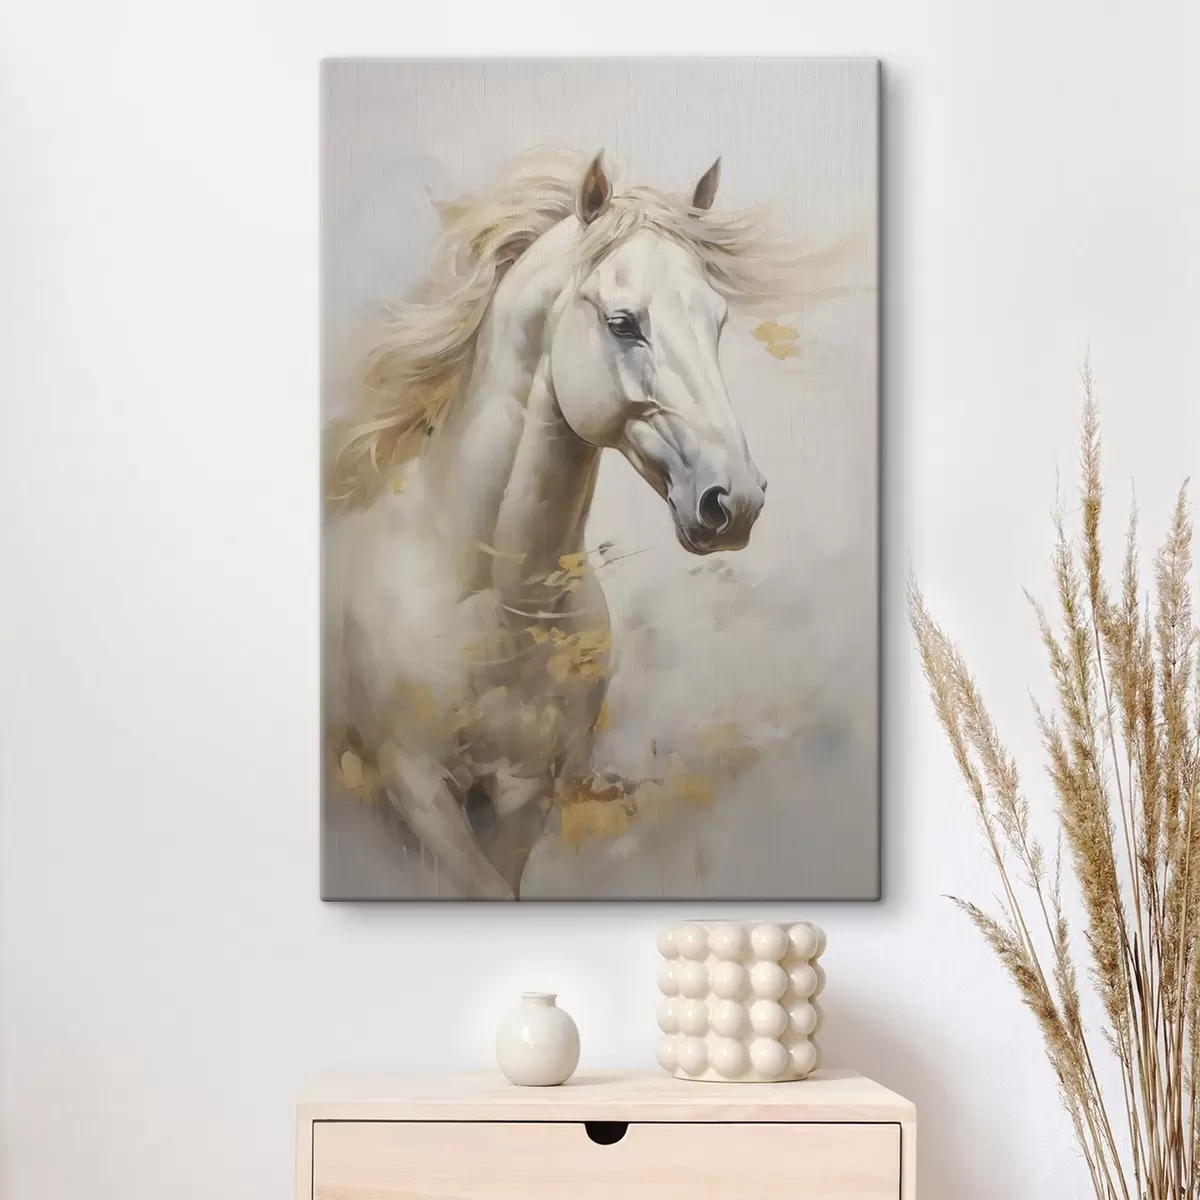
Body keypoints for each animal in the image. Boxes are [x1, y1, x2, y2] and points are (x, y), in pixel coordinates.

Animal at [325, 149, 790, 899]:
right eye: (624, 322)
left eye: (717, 320)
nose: (735, 500)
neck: (494, 608)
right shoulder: (416, 789)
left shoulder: (525, 792)